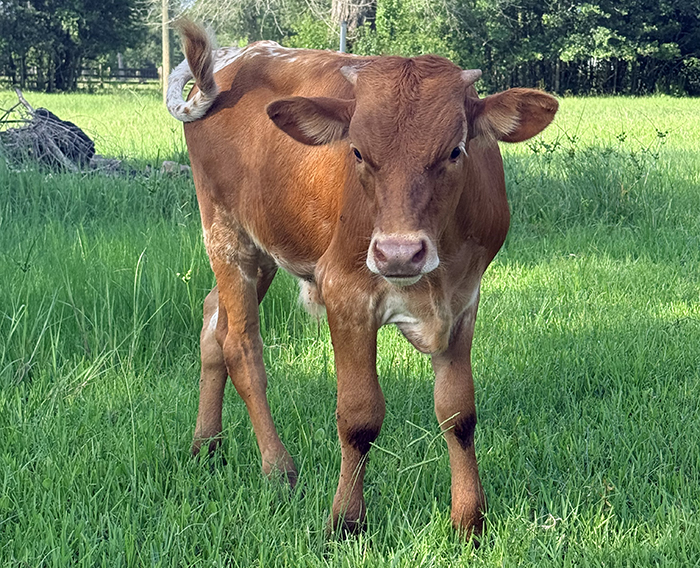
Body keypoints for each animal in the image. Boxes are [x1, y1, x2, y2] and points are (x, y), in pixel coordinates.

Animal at [166, 21, 558, 538]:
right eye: (357, 151)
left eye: (456, 150)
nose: (399, 252)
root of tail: (238, 57)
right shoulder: (345, 294)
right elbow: (359, 417)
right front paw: (346, 521)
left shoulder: (464, 299)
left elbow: (458, 412)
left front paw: (469, 520)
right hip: (225, 233)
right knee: (241, 347)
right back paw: (277, 468)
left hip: (264, 247)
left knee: (214, 321)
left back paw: (206, 444)